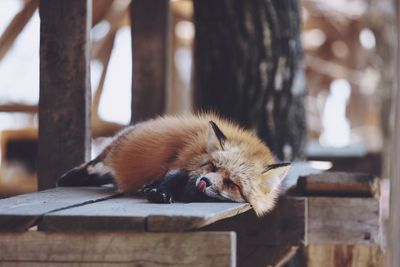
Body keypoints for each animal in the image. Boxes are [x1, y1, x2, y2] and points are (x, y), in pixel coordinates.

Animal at [57, 114, 290, 217]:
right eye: (213, 166)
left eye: (232, 183)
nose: (204, 182)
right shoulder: (182, 159)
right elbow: (173, 176)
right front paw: (160, 192)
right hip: (114, 151)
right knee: (96, 164)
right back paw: (71, 176)